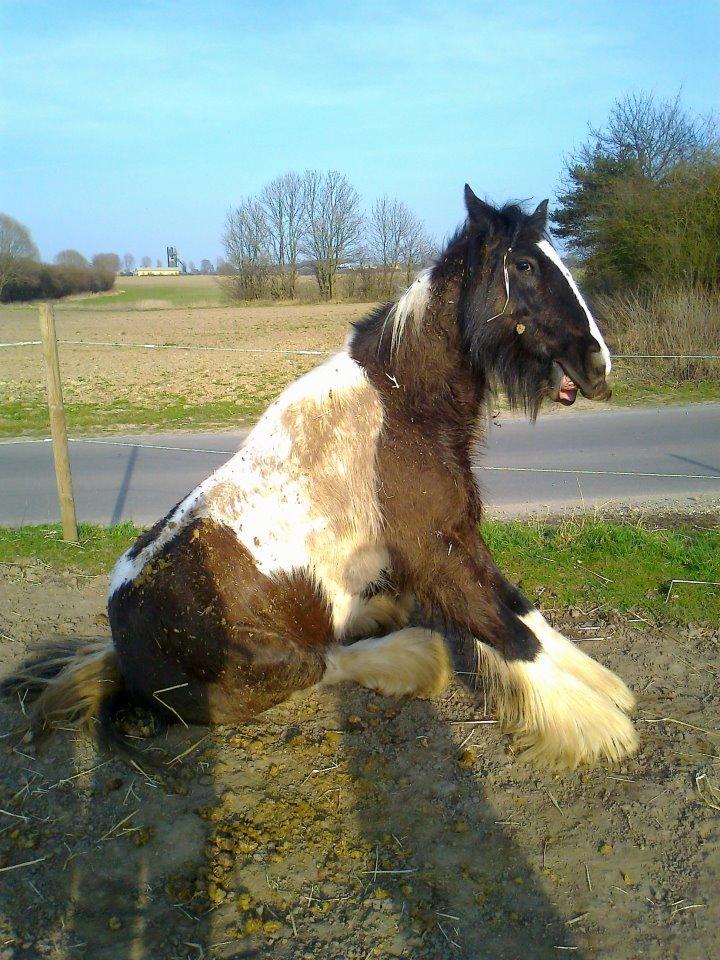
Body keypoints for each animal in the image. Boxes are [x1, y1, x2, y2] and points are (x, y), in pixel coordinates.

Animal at [5, 188, 636, 768]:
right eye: (524, 265)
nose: (599, 365)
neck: (401, 406)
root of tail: (121, 648)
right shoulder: (438, 554)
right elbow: (513, 634)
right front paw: (597, 727)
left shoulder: (459, 536)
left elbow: (525, 613)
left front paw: (605, 692)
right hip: (259, 672)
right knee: (326, 664)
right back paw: (410, 654)